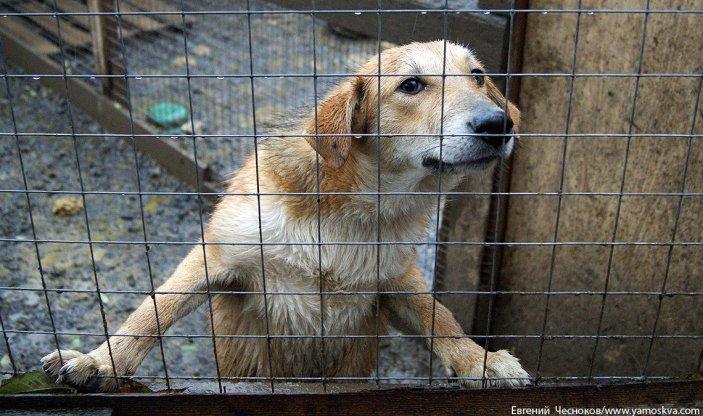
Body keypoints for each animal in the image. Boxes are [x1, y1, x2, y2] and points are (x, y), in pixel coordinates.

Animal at [40, 40, 528, 392]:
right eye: (410, 85)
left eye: (479, 77)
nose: (498, 124)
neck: (348, 209)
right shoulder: (216, 258)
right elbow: (152, 312)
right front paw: (101, 362)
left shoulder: (397, 280)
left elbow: (440, 319)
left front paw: (480, 361)